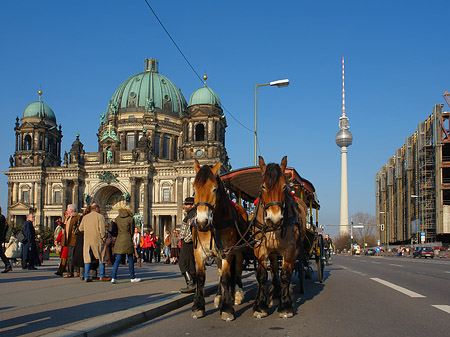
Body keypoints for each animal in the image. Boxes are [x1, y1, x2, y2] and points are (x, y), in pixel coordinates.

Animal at [192, 159, 250, 320]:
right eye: (194, 188)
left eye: (215, 189)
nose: (202, 222)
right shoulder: (199, 252)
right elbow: (201, 278)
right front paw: (198, 306)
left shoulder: (228, 252)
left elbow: (226, 277)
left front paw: (227, 308)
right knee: (219, 273)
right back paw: (219, 296)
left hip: (239, 251)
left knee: (237, 271)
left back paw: (237, 294)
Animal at [251, 155, 308, 318]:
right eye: (263, 187)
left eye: (284, 187)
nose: (274, 219)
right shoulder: (260, 248)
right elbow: (263, 275)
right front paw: (261, 305)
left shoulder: (290, 250)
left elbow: (286, 275)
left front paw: (286, 305)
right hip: (273, 252)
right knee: (274, 269)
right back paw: (275, 293)